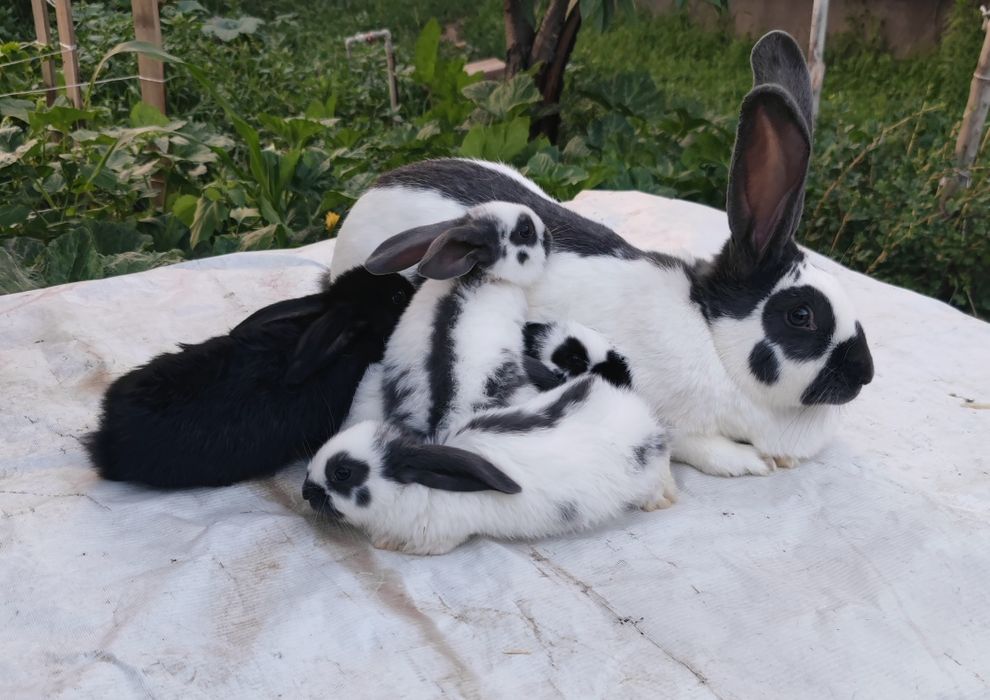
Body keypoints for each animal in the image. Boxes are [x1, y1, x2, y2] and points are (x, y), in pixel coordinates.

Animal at [301, 375, 676, 555]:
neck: (415, 489)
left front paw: (392, 547)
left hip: (645, 472)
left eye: (342, 473)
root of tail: (639, 413)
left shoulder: (444, 533)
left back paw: (661, 502)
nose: (305, 492)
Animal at [325, 31, 874, 478]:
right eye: (801, 315)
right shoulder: (670, 416)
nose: (864, 374)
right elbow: (698, 445)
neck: (712, 339)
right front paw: (749, 461)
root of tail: (373, 190)